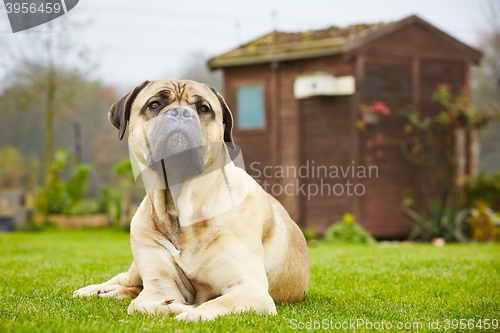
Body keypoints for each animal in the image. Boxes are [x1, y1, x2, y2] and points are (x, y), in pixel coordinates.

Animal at [73, 79, 310, 320]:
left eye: (203, 108)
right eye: (154, 104)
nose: (180, 113)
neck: (180, 209)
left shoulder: (250, 289)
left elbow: (211, 306)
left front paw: (189, 312)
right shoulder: (159, 285)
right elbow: (142, 304)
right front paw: (174, 306)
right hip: (136, 268)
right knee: (125, 280)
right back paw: (92, 290)